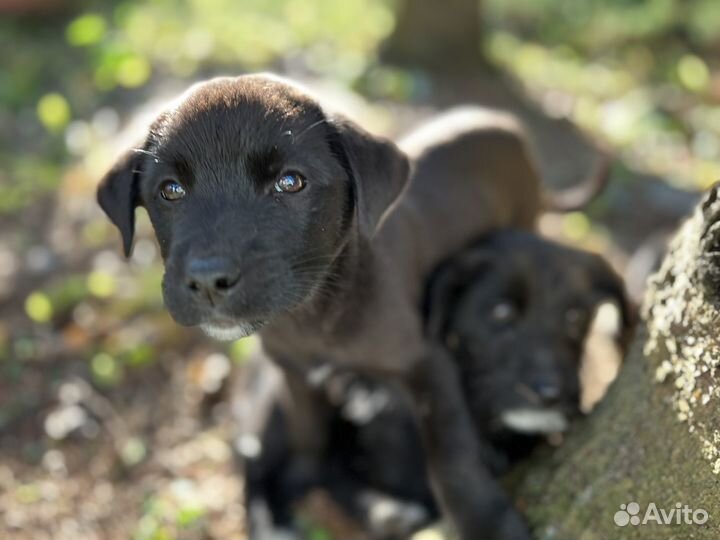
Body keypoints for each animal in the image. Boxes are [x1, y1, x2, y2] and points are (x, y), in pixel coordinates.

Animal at [95, 76, 600, 540]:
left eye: (290, 182)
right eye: (170, 190)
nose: (206, 279)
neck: (316, 314)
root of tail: (501, 121)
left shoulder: (429, 366)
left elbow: (452, 458)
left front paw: (487, 525)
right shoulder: (295, 378)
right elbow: (313, 447)